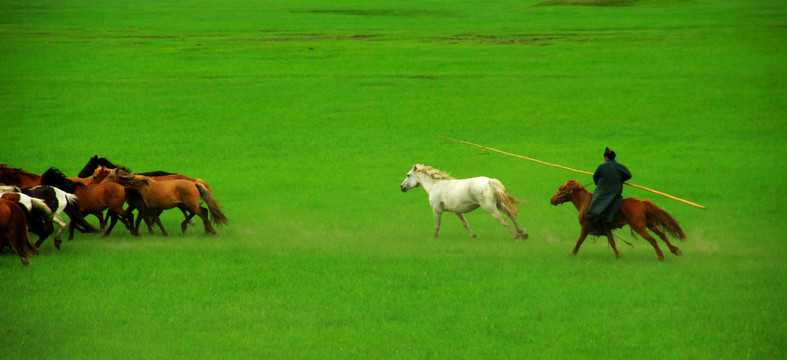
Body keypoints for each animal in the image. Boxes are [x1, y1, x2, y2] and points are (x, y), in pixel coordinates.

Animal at [400, 165, 528, 240]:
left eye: (408, 175)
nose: (402, 187)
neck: (435, 186)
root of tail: (489, 181)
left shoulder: (436, 210)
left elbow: (437, 225)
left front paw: (434, 238)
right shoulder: (457, 211)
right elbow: (465, 224)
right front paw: (474, 235)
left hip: (490, 208)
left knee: (504, 220)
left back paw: (516, 236)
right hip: (500, 205)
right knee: (511, 216)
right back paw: (523, 234)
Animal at [552, 180, 688, 262]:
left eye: (561, 188)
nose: (551, 199)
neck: (586, 203)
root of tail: (641, 203)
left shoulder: (586, 227)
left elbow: (579, 241)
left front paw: (572, 253)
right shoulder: (606, 228)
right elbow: (612, 242)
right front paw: (618, 256)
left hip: (639, 227)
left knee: (653, 240)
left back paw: (661, 257)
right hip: (650, 224)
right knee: (662, 235)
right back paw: (675, 250)